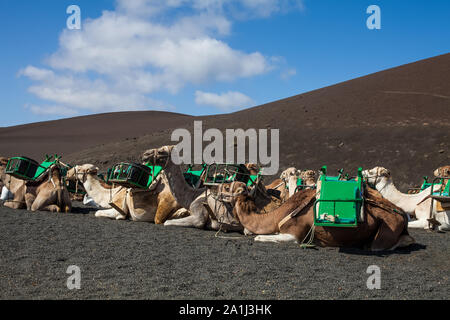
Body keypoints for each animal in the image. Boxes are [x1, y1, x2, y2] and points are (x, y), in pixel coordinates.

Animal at [232, 182, 414, 250]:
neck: (278, 215)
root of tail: (402, 215)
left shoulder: (294, 233)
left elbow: (260, 237)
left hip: (388, 227)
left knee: (380, 245)